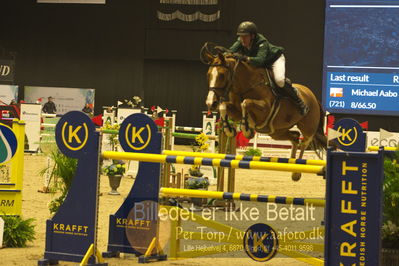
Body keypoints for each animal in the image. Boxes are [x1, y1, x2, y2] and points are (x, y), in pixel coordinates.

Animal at [202, 43, 326, 181]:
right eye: (208, 75)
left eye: (222, 75)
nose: (210, 103)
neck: (246, 84)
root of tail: (313, 96)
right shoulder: (235, 111)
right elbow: (224, 107)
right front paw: (229, 129)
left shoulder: (265, 108)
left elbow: (246, 103)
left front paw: (247, 129)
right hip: (276, 132)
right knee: (294, 137)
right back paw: (292, 165)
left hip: (308, 127)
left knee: (304, 142)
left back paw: (296, 172)